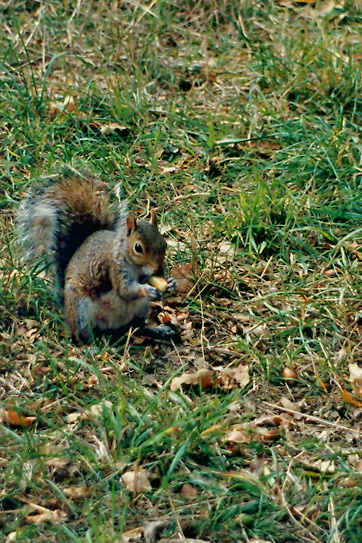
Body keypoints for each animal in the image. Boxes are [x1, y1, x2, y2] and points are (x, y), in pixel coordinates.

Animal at [17, 173, 177, 344]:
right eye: (138, 247)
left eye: (164, 243)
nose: (158, 270)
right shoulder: (115, 267)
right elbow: (125, 290)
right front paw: (147, 289)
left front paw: (171, 283)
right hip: (81, 311)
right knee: (83, 335)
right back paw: (91, 346)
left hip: (141, 309)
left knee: (138, 326)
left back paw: (157, 330)